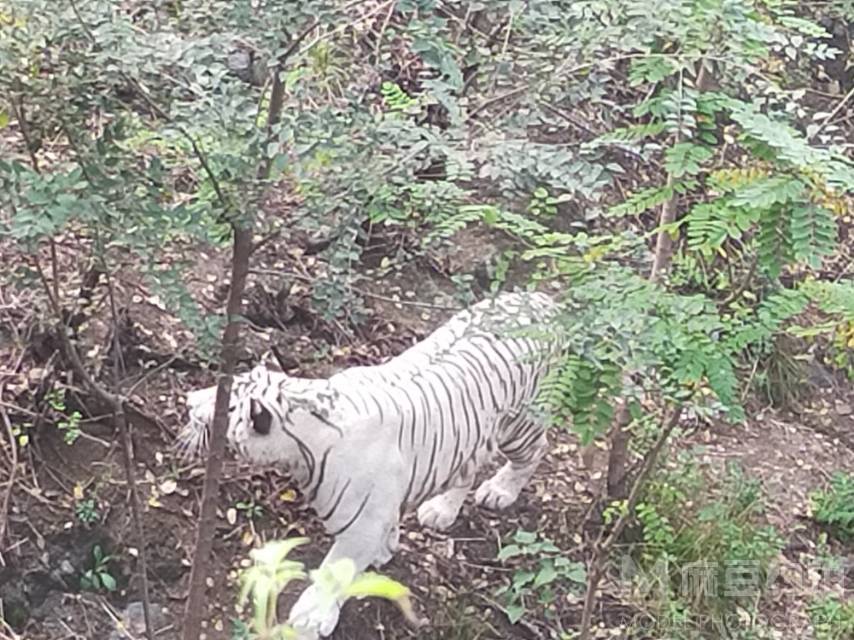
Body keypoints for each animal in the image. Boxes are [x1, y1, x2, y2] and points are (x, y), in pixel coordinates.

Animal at [182, 292, 560, 640]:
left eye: (226, 406)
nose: (188, 400)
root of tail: (544, 300)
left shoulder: (361, 522)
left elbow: (336, 568)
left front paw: (310, 617)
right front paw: (386, 549)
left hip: (520, 424)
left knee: (535, 450)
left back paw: (500, 491)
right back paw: (440, 509)